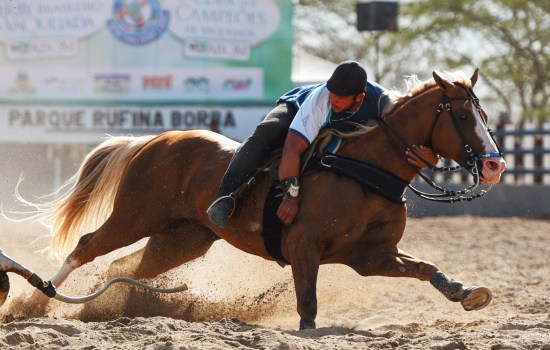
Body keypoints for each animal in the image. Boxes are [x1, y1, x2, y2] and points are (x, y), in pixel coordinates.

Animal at [17, 69, 508, 330]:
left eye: (483, 113)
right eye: (462, 115)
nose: (494, 165)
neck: (364, 169)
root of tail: (153, 141)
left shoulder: (371, 255)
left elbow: (425, 268)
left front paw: (467, 292)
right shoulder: (304, 248)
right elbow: (307, 305)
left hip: (182, 238)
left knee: (125, 267)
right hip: (134, 217)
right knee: (87, 248)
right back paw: (39, 302)